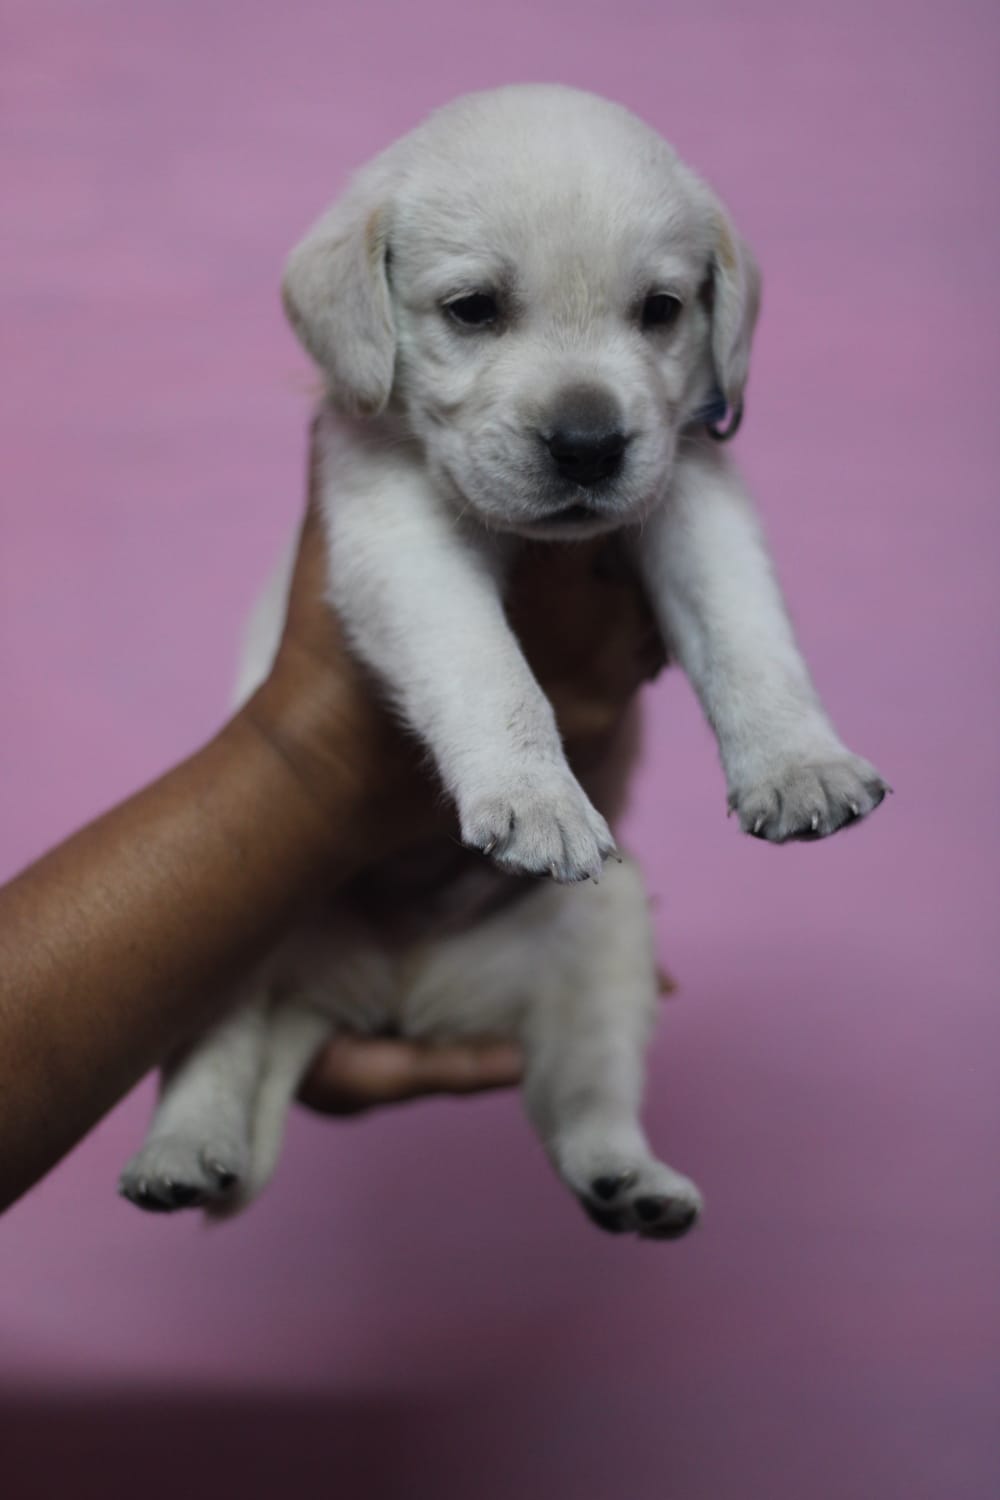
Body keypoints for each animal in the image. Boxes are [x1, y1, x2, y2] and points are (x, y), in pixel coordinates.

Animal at [121, 85, 887, 1242]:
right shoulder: (397, 533)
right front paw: (536, 797)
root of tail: (391, 998)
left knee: (583, 1096)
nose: (589, 444)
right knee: (212, 1056)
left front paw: (800, 764)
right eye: (474, 309)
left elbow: (749, 633)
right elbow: (491, 670)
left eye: (661, 311)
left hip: (610, 931)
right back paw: (180, 1153)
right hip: (227, 934)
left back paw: (631, 1181)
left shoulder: (693, 493)